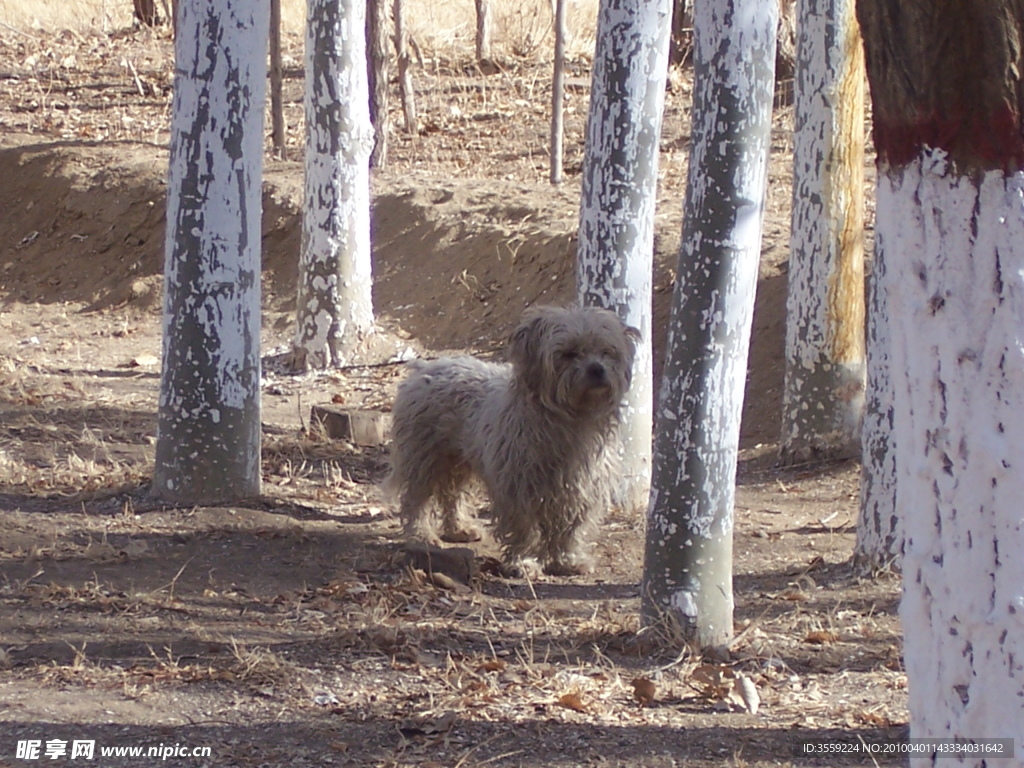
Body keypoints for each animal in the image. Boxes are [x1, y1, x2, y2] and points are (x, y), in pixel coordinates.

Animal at [385, 307, 634, 577]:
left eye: (607, 351)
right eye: (569, 353)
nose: (597, 369)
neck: (570, 420)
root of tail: (425, 368)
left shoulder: (581, 490)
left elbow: (571, 530)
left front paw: (568, 560)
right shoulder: (517, 489)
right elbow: (526, 528)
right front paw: (524, 562)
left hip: (458, 462)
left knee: (452, 495)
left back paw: (459, 528)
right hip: (423, 459)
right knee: (417, 499)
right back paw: (420, 534)